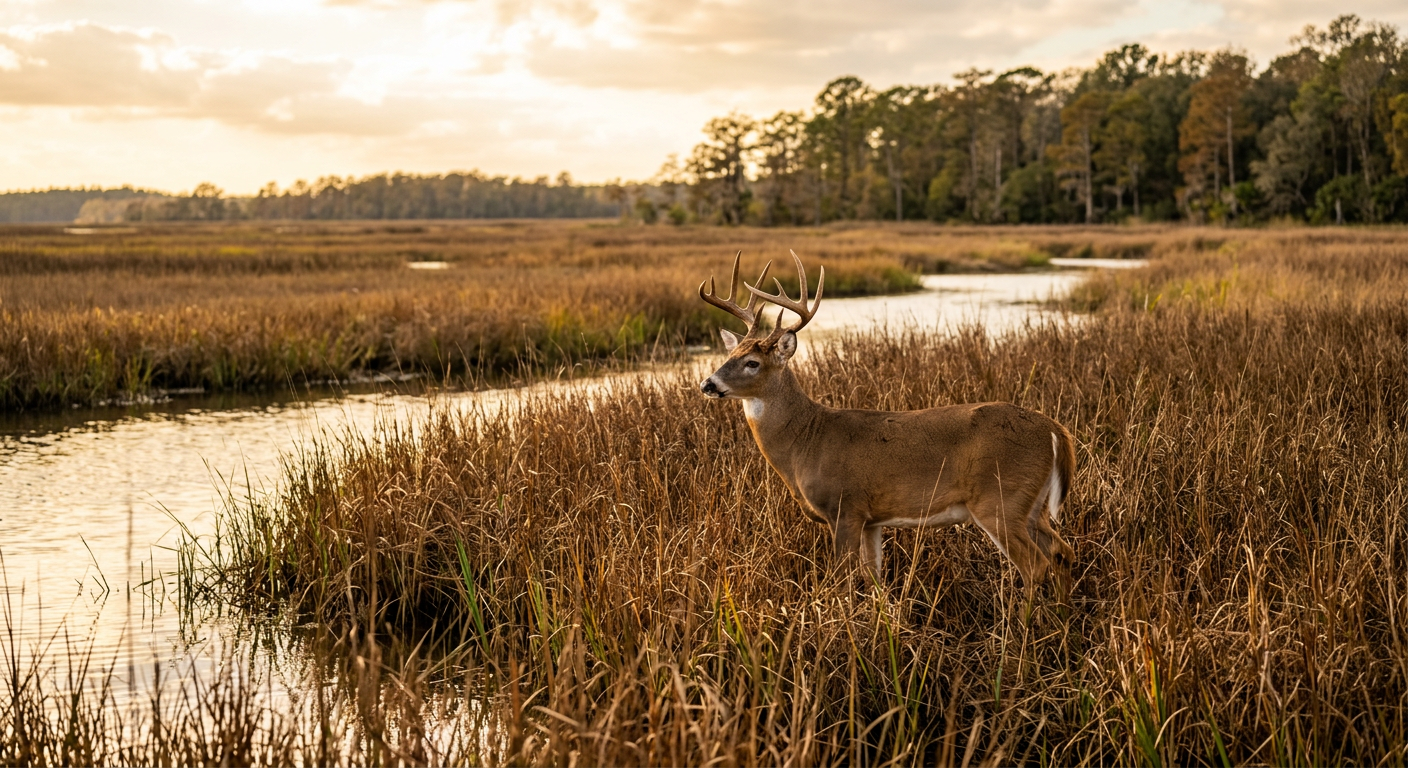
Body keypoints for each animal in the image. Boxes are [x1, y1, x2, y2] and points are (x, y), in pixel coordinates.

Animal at [698, 251, 1076, 601]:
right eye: (729, 356)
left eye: (752, 362)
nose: (708, 384)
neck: (806, 440)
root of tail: (1055, 429)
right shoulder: (871, 519)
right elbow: (874, 578)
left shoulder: (844, 507)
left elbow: (842, 580)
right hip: (1033, 504)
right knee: (1062, 552)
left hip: (999, 498)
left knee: (1035, 564)